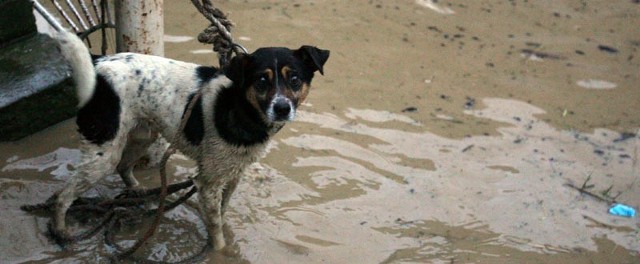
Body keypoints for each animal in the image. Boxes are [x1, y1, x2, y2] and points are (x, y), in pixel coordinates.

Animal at [51, 31, 330, 250]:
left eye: (295, 79)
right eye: (262, 80)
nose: (282, 108)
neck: (240, 108)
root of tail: (97, 62)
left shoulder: (232, 174)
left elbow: (221, 213)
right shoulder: (208, 182)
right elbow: (216, 229)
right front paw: (219, 253)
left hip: (143, 135)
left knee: (123, 167)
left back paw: (140, 192)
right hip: (103, 152)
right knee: (62, 196)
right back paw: (61, 232)